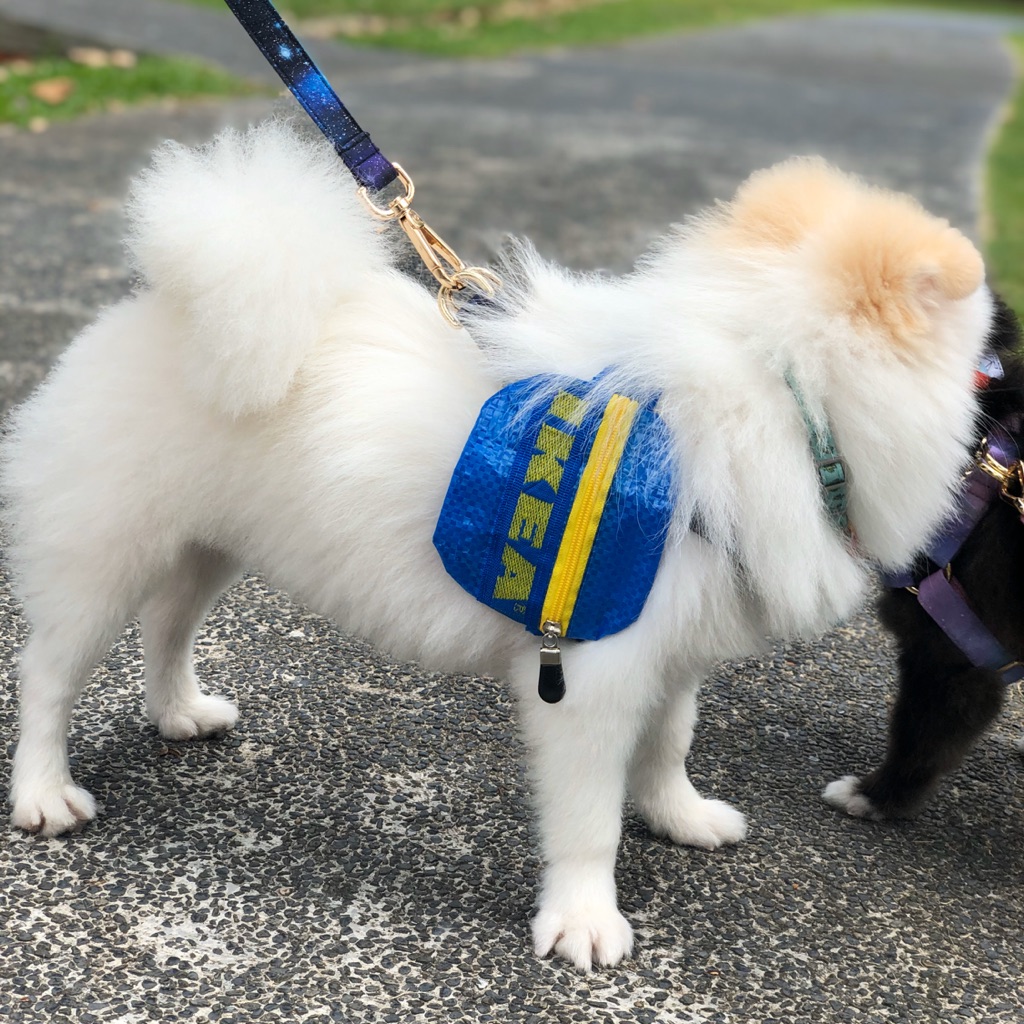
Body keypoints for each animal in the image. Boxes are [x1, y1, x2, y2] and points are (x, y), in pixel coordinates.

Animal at [0, 117, 991, 966]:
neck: (777, 390)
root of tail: (161, 303)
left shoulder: (671, 648)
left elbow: (670, 741)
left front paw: (677, 816)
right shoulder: (585, 670)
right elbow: (588, 818)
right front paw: (584, 921)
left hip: (210, 545)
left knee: (169, 625)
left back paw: (178, 710)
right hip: (103, 557)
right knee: (49, 676)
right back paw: (44, 794)